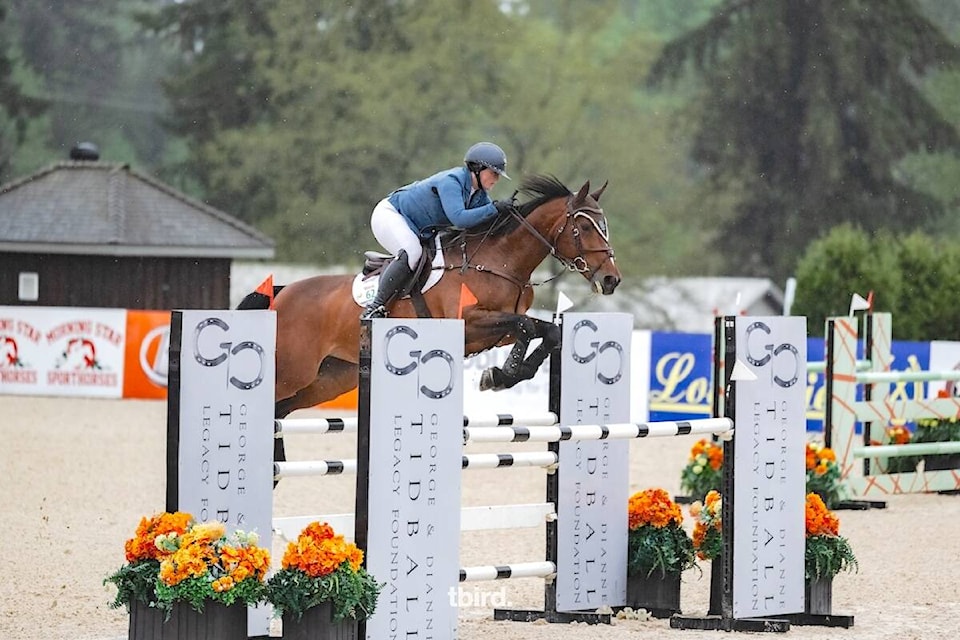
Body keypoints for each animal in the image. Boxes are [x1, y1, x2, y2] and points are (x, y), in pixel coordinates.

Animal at [236, 175, 620, 424]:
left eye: (604, 226)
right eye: (585, 228)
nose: (611, 279)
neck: (501, 261)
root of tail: (283, 293)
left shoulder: (498, 332)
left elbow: (545, 331)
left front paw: (504, 373)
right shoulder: (471, 324)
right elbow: (527, 325)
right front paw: (501, 374)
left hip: (326, 380)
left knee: (280, 412)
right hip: (291, 370)